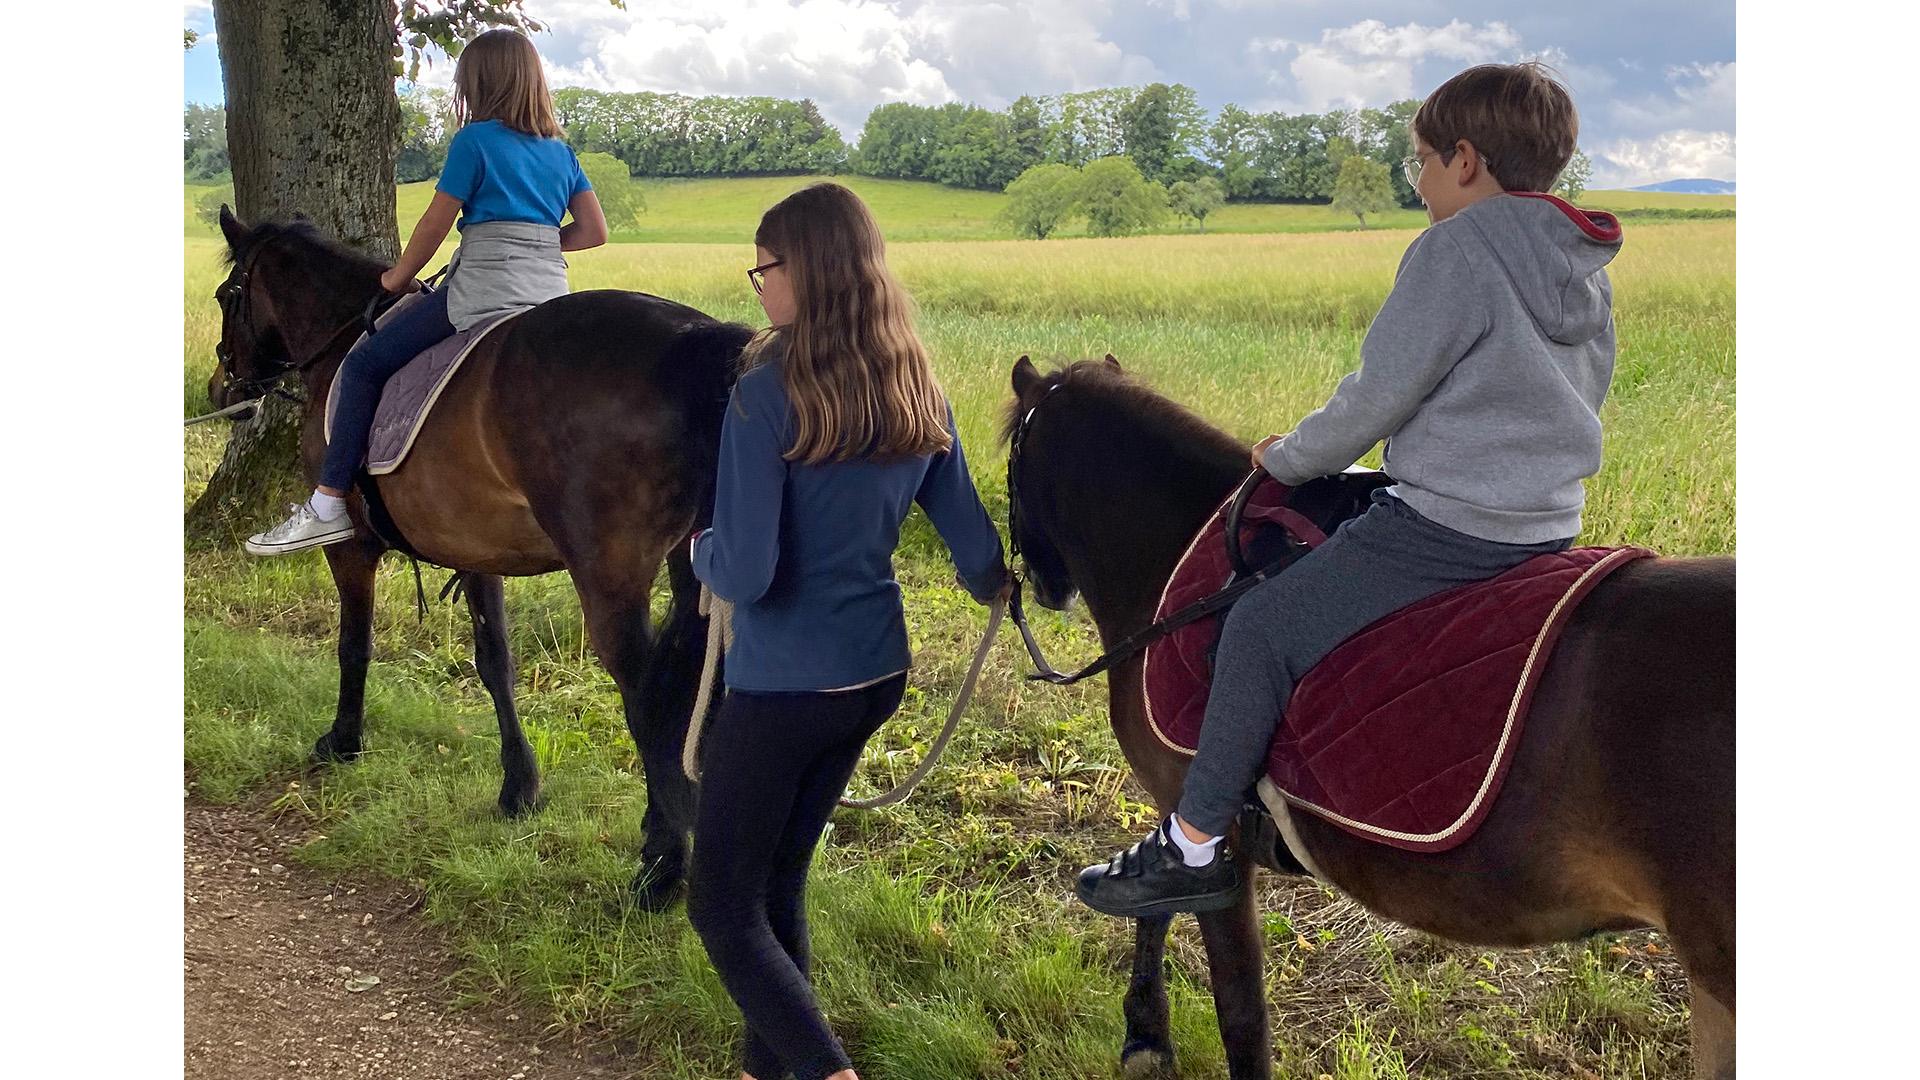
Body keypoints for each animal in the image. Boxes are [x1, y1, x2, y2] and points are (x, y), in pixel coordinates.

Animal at [212, 208, 741, 899]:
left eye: (227, 295)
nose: (221, 386)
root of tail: (697, 343)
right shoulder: (475, 549)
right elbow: (496, 662)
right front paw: (520, 787)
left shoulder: (352, 547)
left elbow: (355, 644)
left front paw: (344, 740)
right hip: (695, 567)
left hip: (610, 577)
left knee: (646, 691)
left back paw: (662, 863)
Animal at [1006, 359, 1743, 1076]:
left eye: (1011, 467)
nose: (1041, 586)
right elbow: (1154, 916)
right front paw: (1145, 1035)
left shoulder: (1211, 839)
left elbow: (1239, 1013)